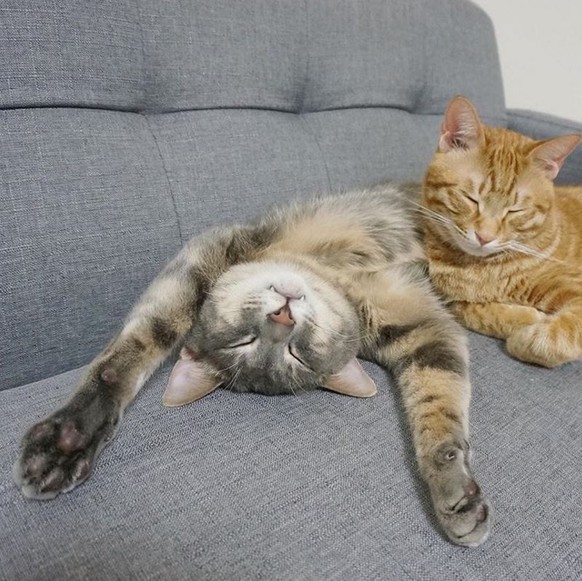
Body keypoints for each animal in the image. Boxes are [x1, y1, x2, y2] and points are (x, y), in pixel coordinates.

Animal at [14, 185, 490, 546]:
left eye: (297, 352)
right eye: (245, 341)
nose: (283, 317)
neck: (335, 276)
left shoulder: (425, 330)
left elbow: (437, 406)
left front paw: (451, 483)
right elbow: (137, 348)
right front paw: (70, 436)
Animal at [422, 95, 582, 368]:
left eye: (515, 210)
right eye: (470, 199)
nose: (484, 237)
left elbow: (559, 335)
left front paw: (525, 338)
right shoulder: (453, 300)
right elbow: (477, 312)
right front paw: (526, 318)